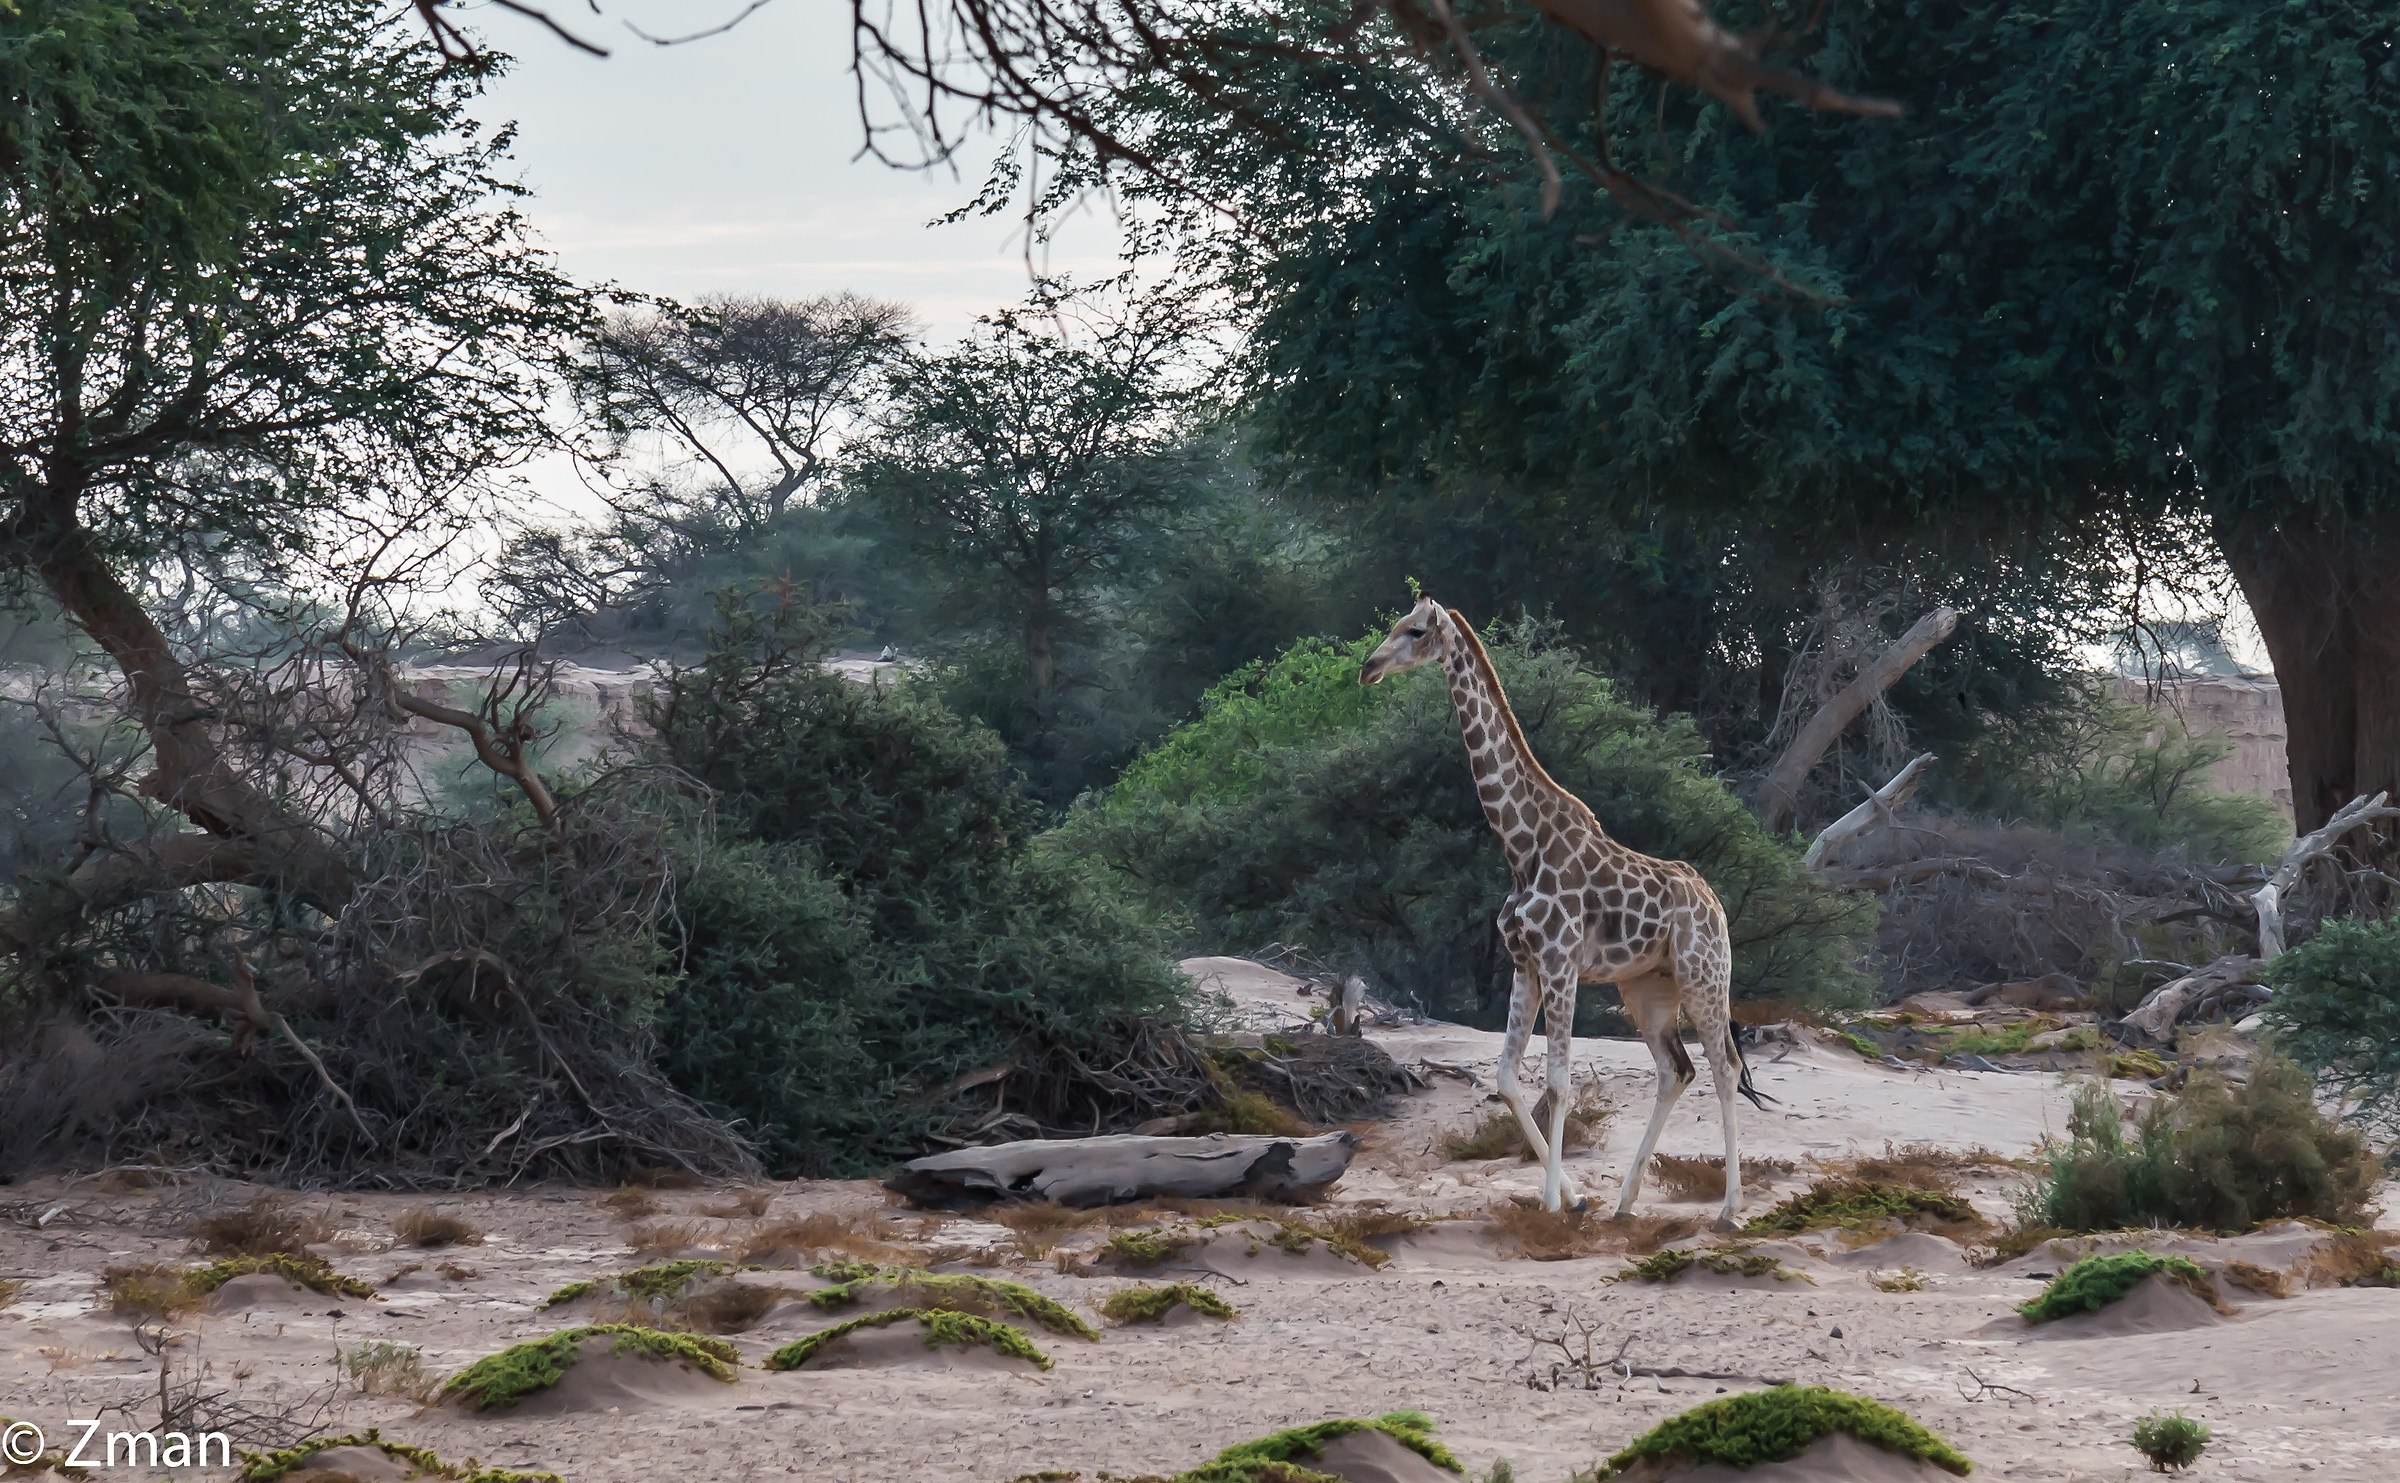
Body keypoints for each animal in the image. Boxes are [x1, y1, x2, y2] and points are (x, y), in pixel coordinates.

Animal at [1360, 597, 1770, 1226]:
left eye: (1416, 630)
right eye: (1393, 626)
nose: (1369, 667)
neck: (1520, 846)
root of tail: (1715, 904)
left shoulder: (1559, 964)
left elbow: (1557, 1081)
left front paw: (1552, 1201)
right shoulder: (1525, 965)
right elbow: (1507, 1076)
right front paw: (1575, 1197)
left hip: (1705, 975)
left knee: (1724, 1068)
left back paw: (1730, 1208)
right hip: (1648, 987)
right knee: (1677, 1069)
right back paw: (1624, 1202)